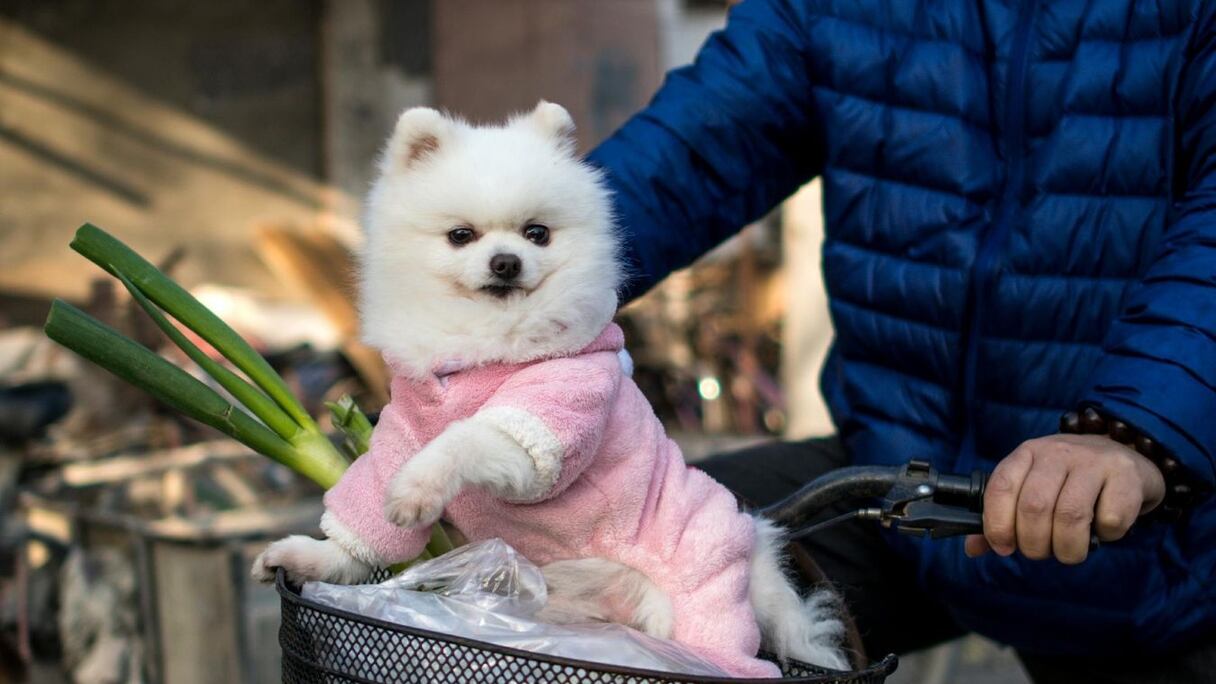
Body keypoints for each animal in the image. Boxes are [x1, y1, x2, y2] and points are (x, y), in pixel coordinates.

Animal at [254, 101, 846, 671]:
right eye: (461, 235)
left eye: (536, 233)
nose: (506, 262)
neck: (483, 346)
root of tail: (758, 554)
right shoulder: (400, 434)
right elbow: (366, 523)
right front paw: (316, 556)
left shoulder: (545, 425)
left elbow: (463, 439)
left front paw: (417, 488)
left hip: (703, 594)